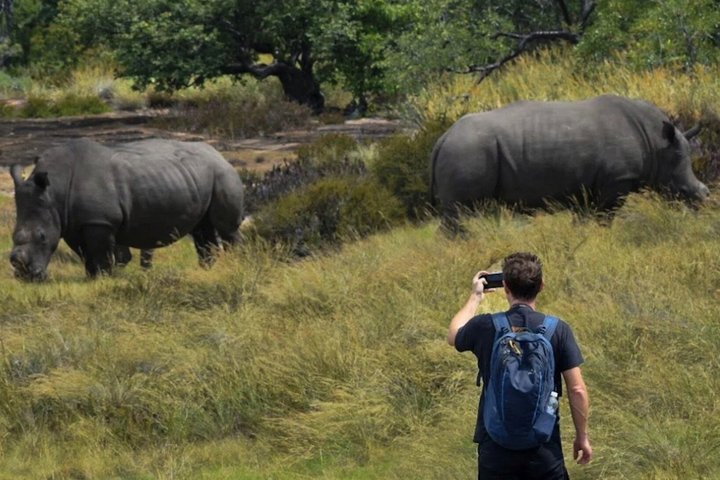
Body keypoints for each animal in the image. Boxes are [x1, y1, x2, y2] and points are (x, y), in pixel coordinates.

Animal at [10, 138, 244, 281]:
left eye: (42, 236)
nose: (25, 276)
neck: (55, 191)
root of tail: (221, 155)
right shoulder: (73, 222)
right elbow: (85, 253)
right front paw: (91, 277)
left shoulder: (99, 222)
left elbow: (100, 253)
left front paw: (102, 278)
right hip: (196, 177)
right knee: (202, 230)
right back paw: (208, 270)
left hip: (223, 174)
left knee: (227, 229)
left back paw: (237, 265)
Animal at [430, 95, 710, 230]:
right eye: (677, 164)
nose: (704, 197)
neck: (654, 140)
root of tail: (441, 139)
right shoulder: (617, 179)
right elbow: (605, 217)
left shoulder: (586, 186)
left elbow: (584, 220)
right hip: (467, 150)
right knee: (461, 212)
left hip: (465, 149)